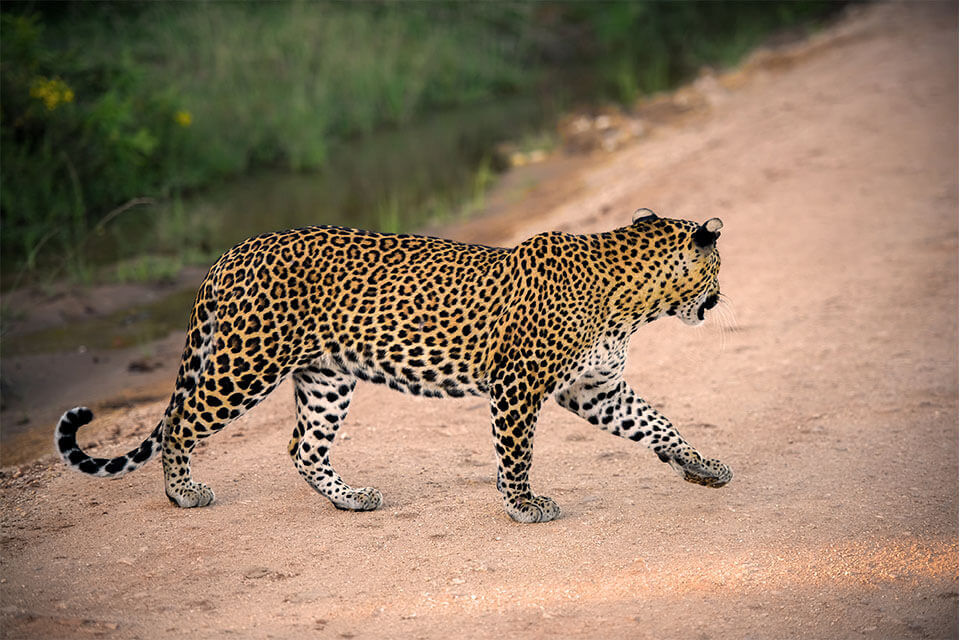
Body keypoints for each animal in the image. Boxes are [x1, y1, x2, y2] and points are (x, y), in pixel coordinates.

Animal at [55, 208, 732, 523]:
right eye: (718, 267)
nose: (721, 296)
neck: (633, 301)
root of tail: (232, 252)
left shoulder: (596, 390)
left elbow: (658, 424)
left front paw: (703, 467)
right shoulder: (519, 385)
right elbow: (516, 454)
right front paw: (523, 505)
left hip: (325, 377)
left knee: (303, 446)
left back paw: (351, 499)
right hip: (245, 365)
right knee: (180, 422)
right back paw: (183, 493)